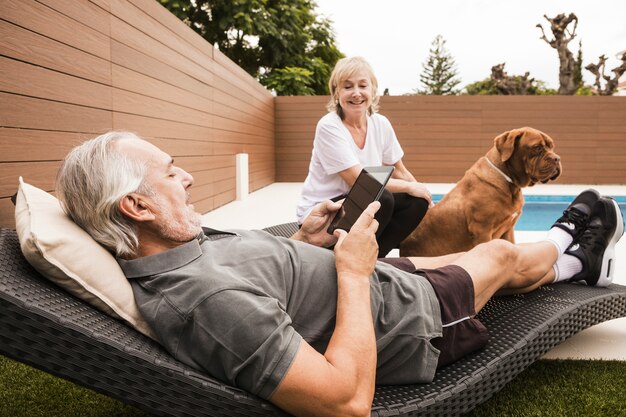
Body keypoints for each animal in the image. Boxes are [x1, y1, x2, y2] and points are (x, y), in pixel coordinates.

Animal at [400, 127, 560, 256]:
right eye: (537, 147)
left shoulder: (508, 230)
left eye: (552, 147)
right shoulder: (482, 230)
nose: (557, 158)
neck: (509, 180)